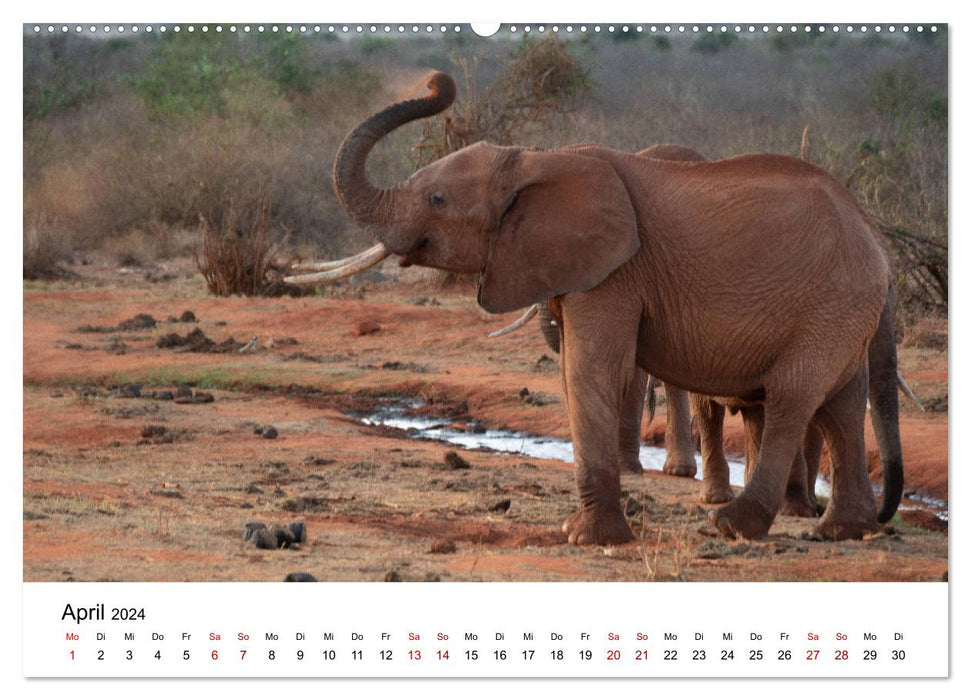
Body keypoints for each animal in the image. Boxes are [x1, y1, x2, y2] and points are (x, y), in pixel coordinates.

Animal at [286, 71, 904, 544]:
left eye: (437, 200)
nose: (439, 82)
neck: (534, 160)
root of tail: (875, 236)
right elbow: (572, 371)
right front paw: (580, 531)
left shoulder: (615, 272)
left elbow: (591, 369)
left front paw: (588, 539)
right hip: (844, 306)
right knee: (840, 404)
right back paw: (843, 531)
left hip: (832, 301)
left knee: (792, 399)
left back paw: (733, 527)